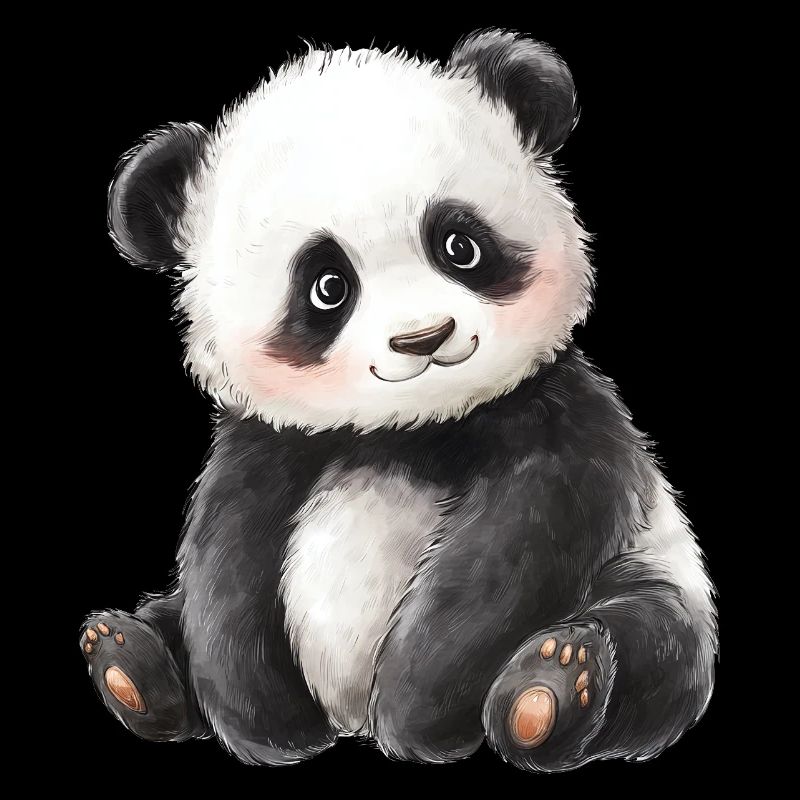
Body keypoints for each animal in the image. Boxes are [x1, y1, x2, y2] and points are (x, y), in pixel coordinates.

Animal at [80, 29, 717, 772]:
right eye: (328, 285)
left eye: (460, 245)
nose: (424, 336)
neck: (405, 430)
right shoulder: (267, 444)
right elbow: (225, 567)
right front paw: (271, 731)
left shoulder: (556, 411)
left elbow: (514, 551)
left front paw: (418, 722)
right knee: (175, 612)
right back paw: (128, 664)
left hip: (653, 574)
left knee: (654, 645)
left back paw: (549, 688)